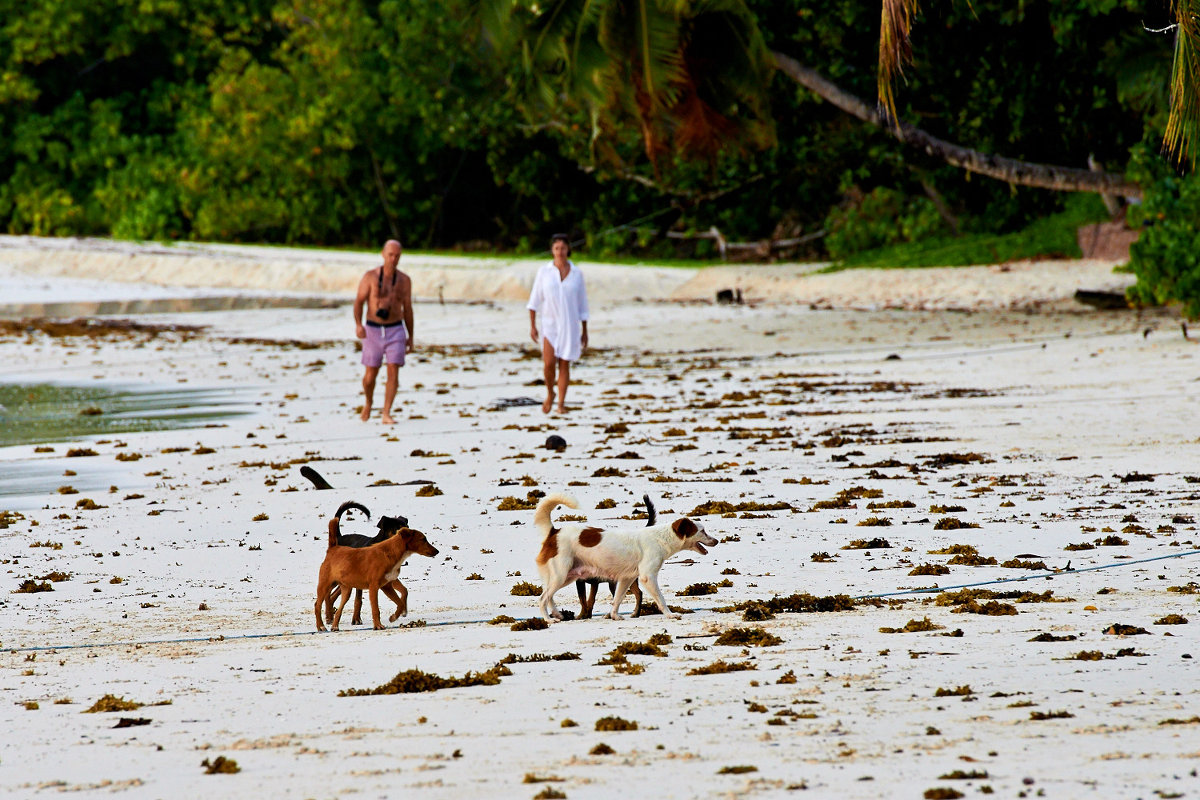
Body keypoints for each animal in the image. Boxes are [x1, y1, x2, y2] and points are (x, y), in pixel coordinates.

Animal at [532, 494, 710, 618]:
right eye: (702, 531)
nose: (715, 541)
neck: (660, 538)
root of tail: (554, 532)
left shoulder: (626, 579)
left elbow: (617, 599)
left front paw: (614, 616)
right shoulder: (648, 577)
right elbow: (660, 599)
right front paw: (670, 615)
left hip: (567, 576)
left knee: (548, 596)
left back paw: (557, 615)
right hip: (561, 575)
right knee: (543, 598)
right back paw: (549, 619)